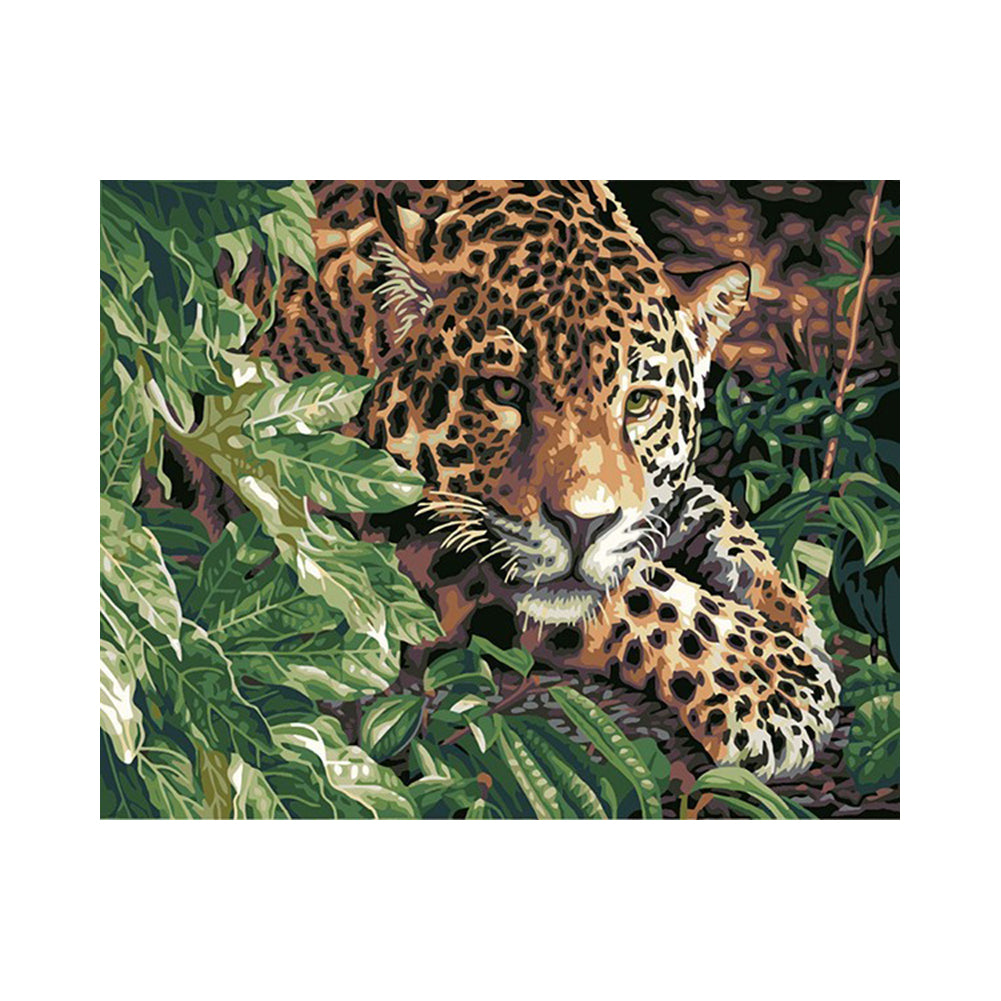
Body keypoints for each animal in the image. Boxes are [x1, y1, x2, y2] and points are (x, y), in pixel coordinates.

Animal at [217, 180, 840, 782]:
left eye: (639, 403)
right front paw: (777, 682)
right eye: (504, 390)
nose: (583, 526)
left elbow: (707, 513)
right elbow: (638, 591)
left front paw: (787, 610)